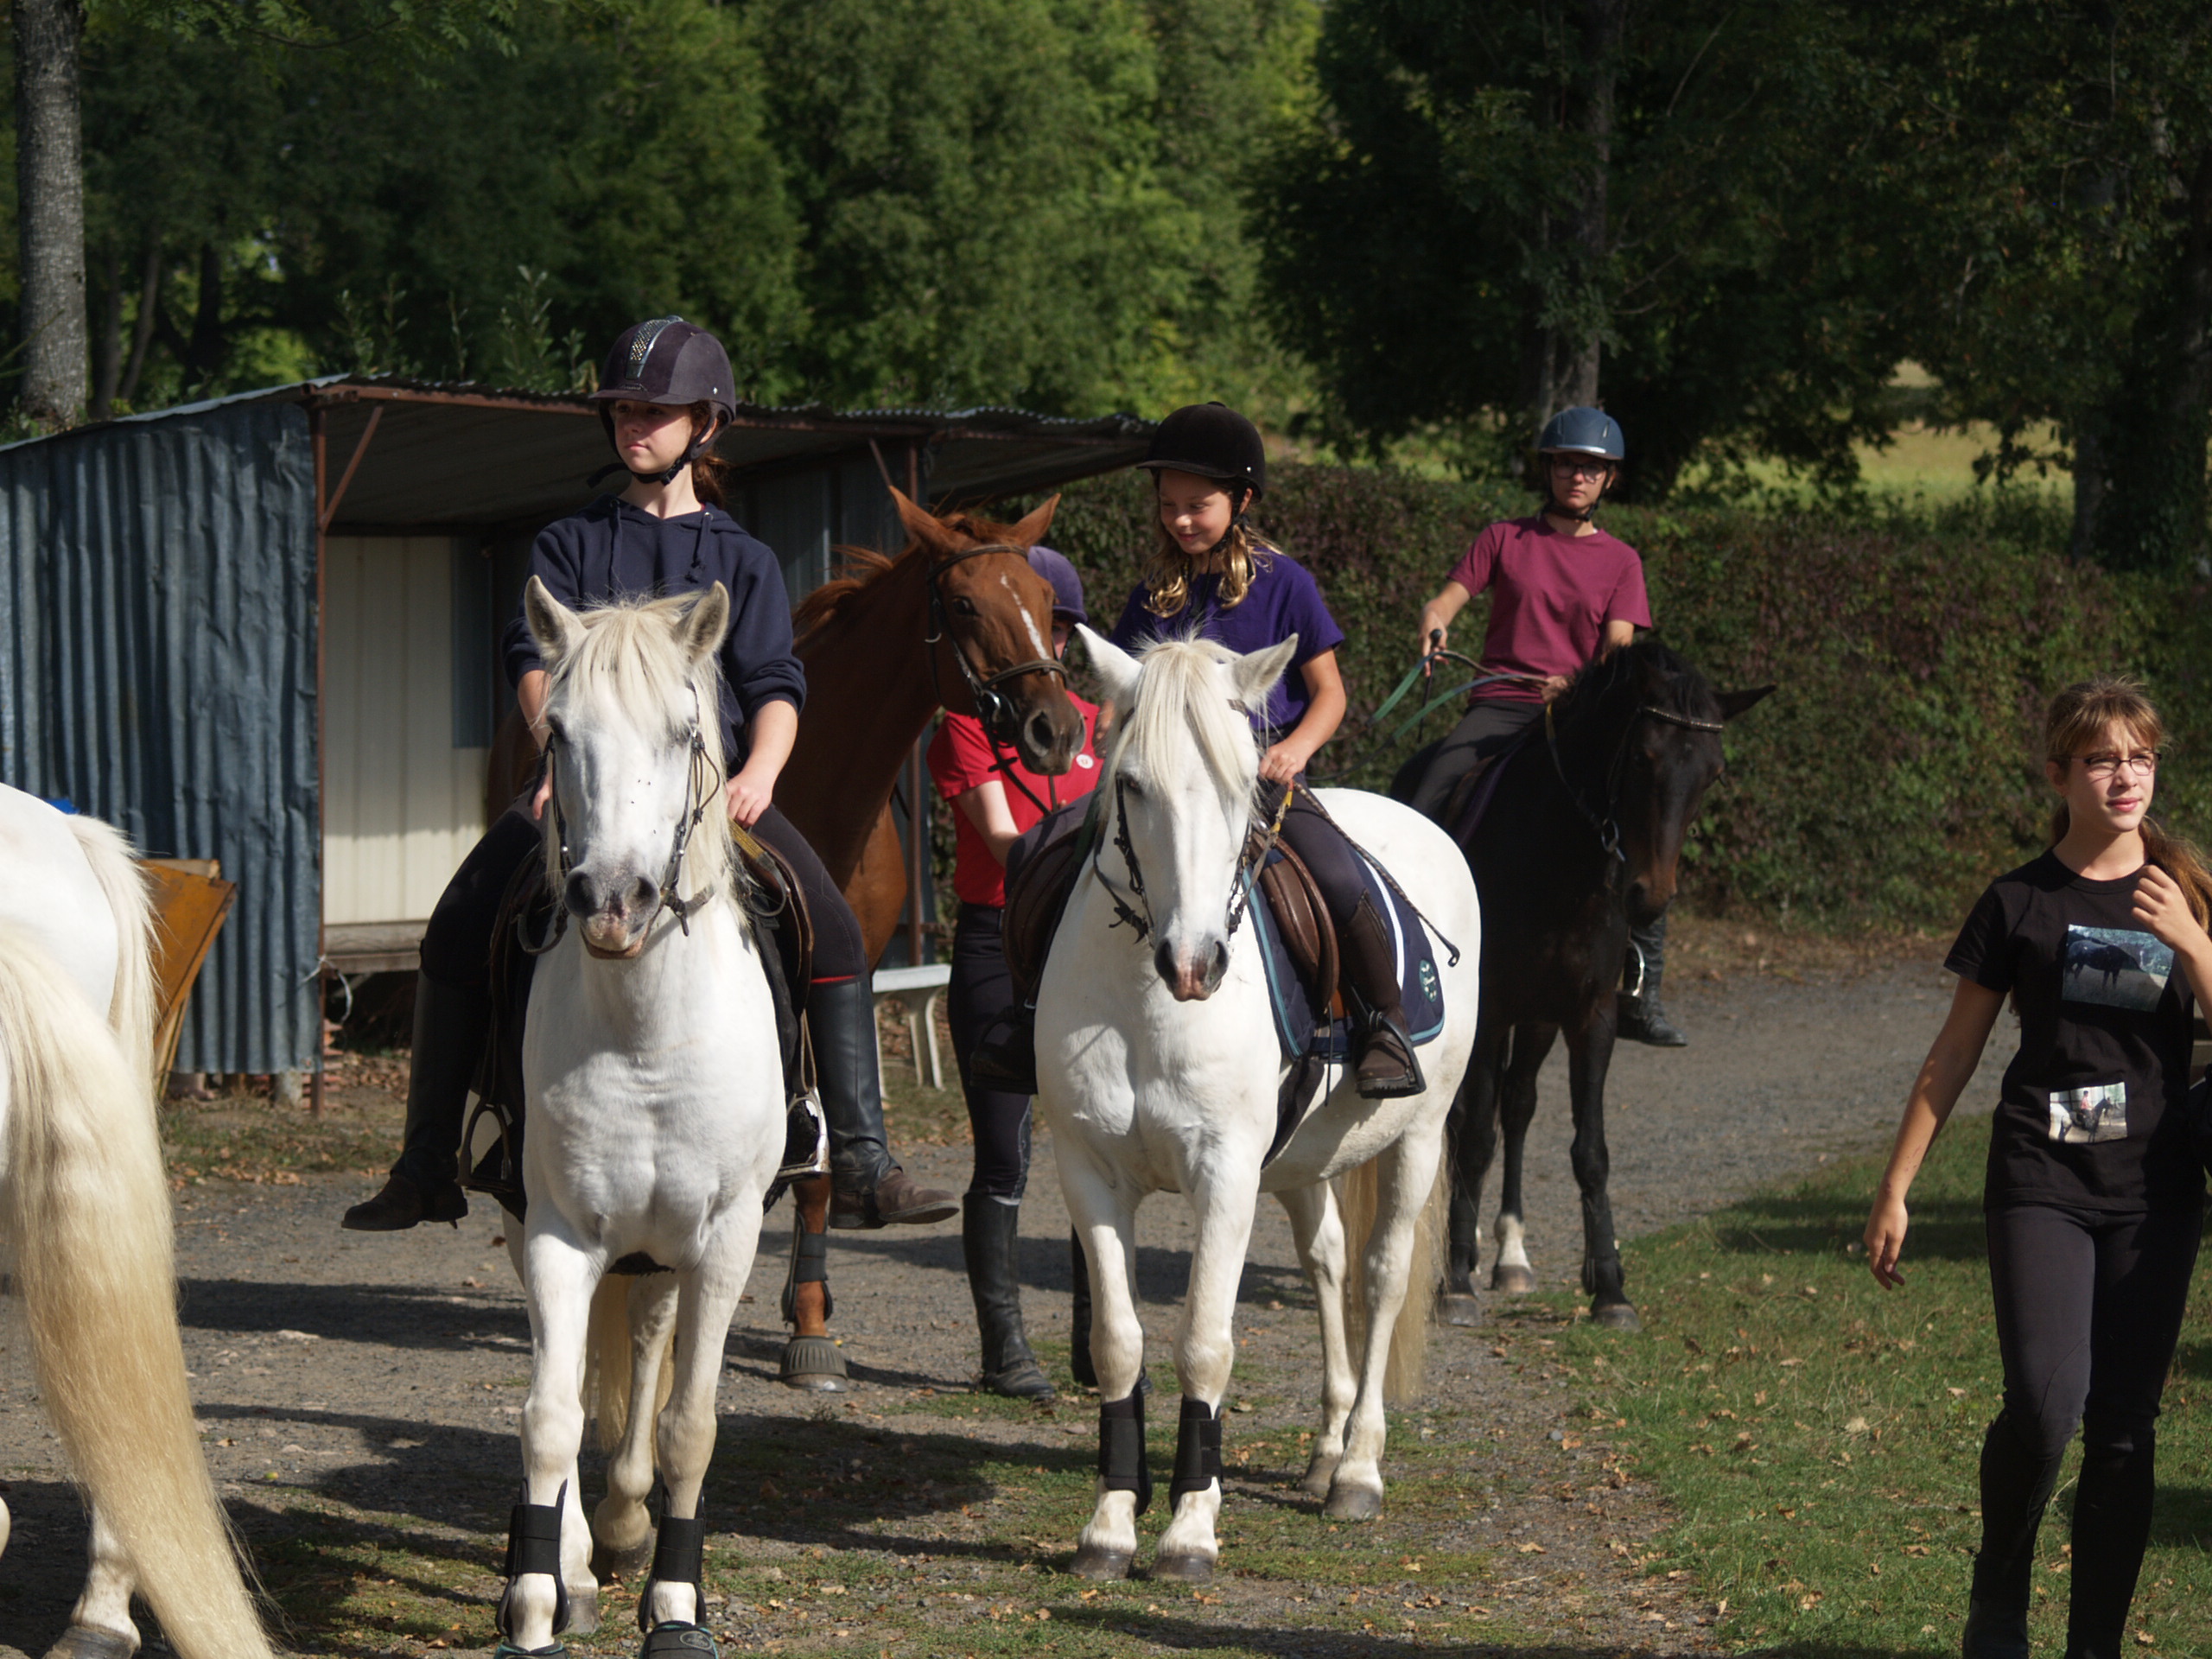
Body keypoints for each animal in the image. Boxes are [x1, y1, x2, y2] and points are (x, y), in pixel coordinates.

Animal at [1039, 628, 1486, 1574]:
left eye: (1244, 783)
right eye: (1132, 784)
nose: (1195, 963)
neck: (1147, 998)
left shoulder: (1224, 1173)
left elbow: (1205, 1344)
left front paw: (1188, 1530)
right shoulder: (1088, 1172)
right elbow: (1118, 1344)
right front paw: (1110, 1524)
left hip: (1420, 1137)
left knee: (1381, 1279)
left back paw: (1357, 1470)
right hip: (1303, 1165)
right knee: (1327, 1264)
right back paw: (1324, 1453)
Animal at [1407, 641, 1770, 1336]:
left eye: (1712, 774)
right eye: (1642, 756)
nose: (1649, 898)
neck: (1557, 857)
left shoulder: (1589, 1016)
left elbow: (1590, 1150)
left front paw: (1610, 1287)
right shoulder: (1491, 1011)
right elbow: (1475, 1139)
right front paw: (1456, 1281)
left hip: (1540, 1020)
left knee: (1518, 1106)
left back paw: (1511, 1256)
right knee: (1469, 1120)